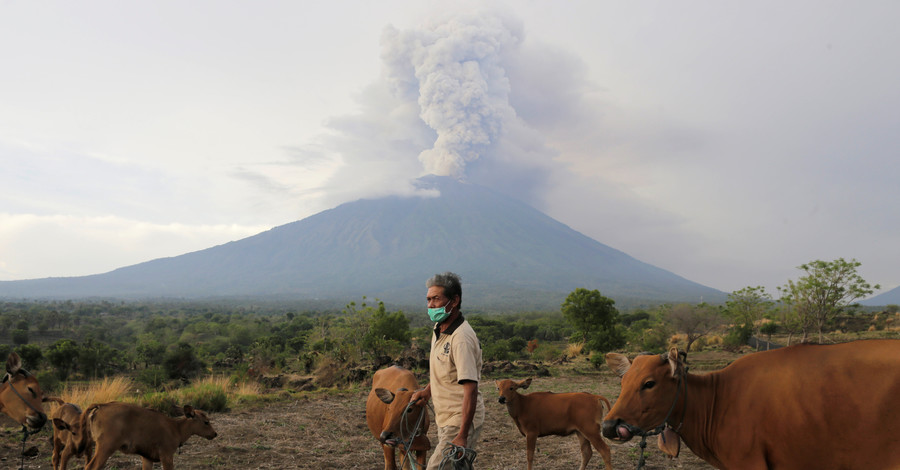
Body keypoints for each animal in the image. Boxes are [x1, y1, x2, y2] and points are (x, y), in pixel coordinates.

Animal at [70, 400, 216, 470]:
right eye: (206, 422)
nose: (214, 434)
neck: (175, 427)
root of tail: (101, 406)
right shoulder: (166, 456)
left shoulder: (147, 458)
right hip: (106, 447)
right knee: (91, 467)